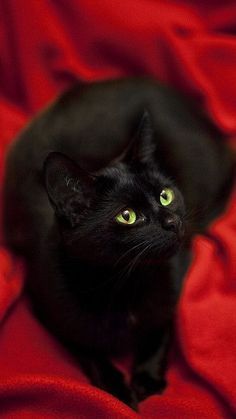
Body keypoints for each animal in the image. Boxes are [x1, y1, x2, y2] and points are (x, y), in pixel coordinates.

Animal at [3, 77, 234, 408]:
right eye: (128, 216)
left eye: (165, 195)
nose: (172, 222)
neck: (125, 283)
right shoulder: (46, 304)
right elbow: (87, 347)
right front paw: (117, 390)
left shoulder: (175, 281)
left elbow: (159, 330)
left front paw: (147, 380)